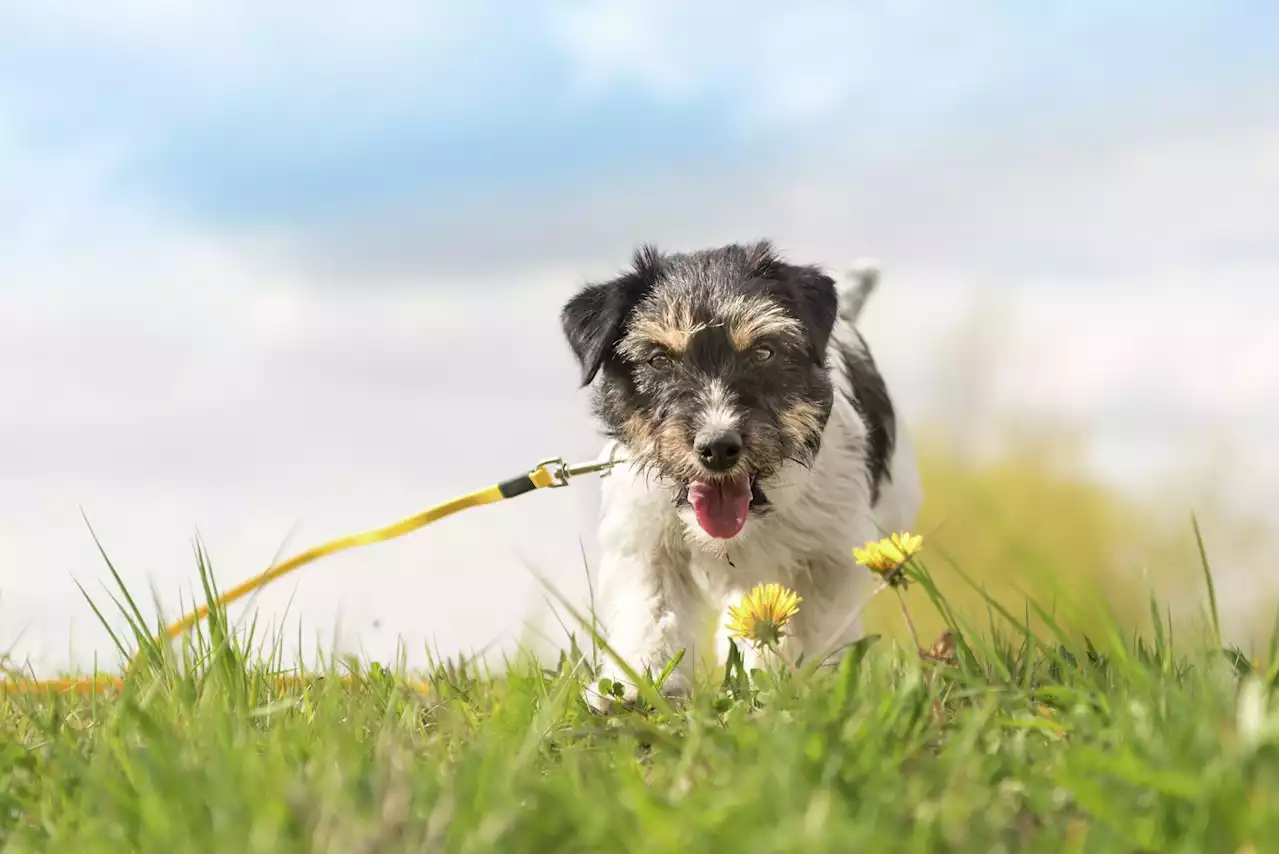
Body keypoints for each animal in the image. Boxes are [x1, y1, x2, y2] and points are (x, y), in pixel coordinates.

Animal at [560, 240, 921, 706]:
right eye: (658, 360)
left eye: (764, 352)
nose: (718, 448)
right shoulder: (647, 544)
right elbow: (651, 613)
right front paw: (638, 686)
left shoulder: (828, 557)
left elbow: (811, 628)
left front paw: (803, 688)